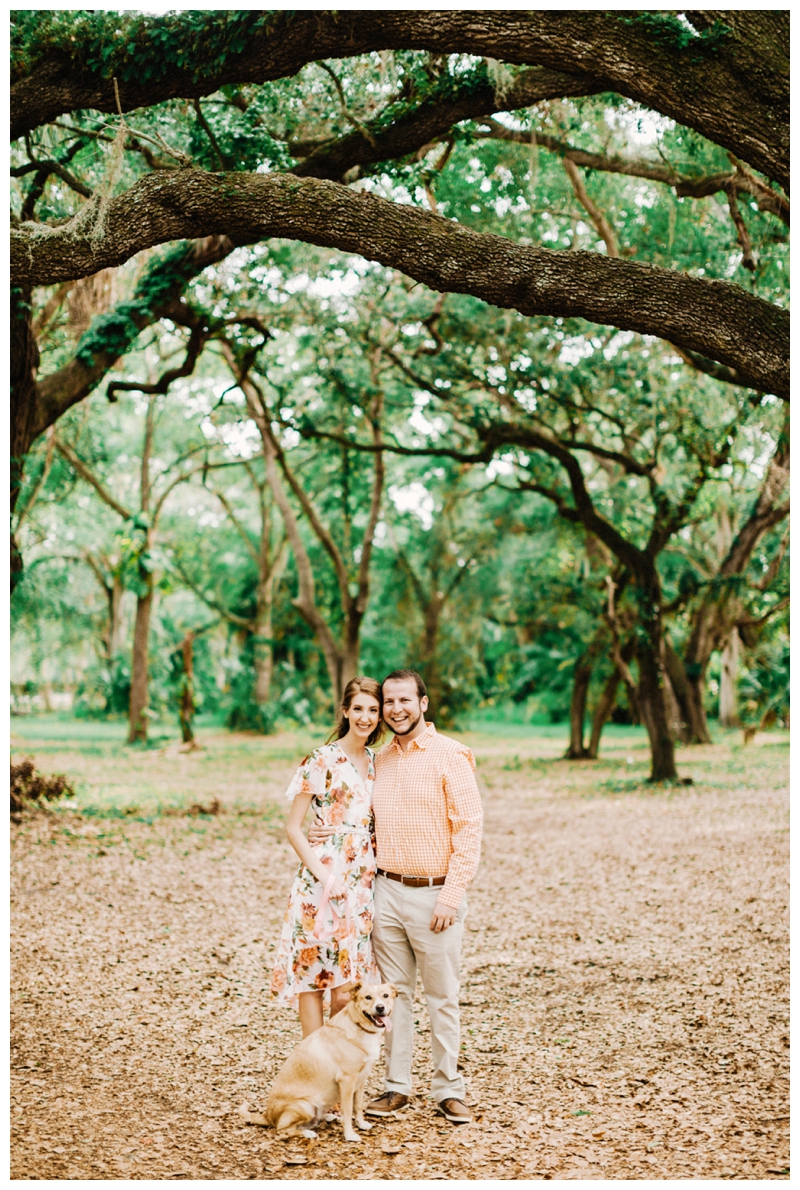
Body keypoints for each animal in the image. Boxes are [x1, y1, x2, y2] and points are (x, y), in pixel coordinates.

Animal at [239, 985, 397, 1142]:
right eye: (368, 997)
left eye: (385, 995)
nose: (380, 1007)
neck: (359, 1026)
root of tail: (267, 1115)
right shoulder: (347, 1080)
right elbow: (347, 1111)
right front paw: (349, 1135)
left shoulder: (360, 1080)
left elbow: (357, 1106)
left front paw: (361, 1124)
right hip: (304, 1106)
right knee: (282, 1131)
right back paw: (307, 1133)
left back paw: (327, 1117)